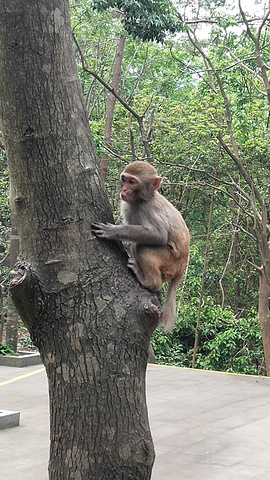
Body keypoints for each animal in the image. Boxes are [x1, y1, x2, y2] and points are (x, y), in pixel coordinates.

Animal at [93, 161, 190, 330]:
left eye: (132, 182)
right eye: (124, 179)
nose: (124, 190)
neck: (140, 200)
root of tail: (182, 268)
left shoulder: (148, 208)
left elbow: (159, 235)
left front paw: (114, 231)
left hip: (170, 261)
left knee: (142, 247)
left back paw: (150, 282)